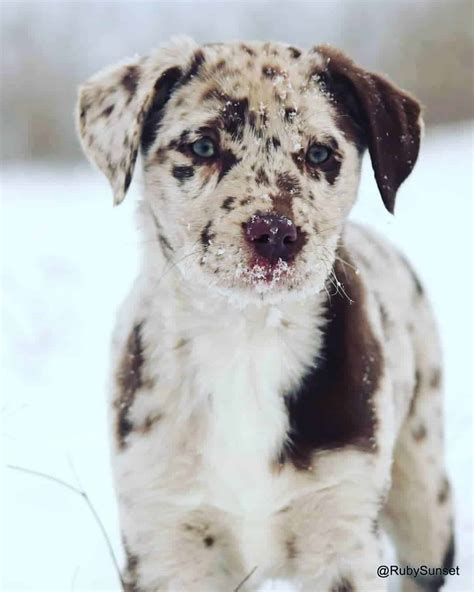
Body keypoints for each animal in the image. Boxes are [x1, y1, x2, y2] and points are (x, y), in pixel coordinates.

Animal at [76, 38, 454, 592]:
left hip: (425, 492)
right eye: (202, 147)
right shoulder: (165, 533)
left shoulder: (343, 526)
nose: (275, 231)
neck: (247, 341)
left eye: (319, 153)